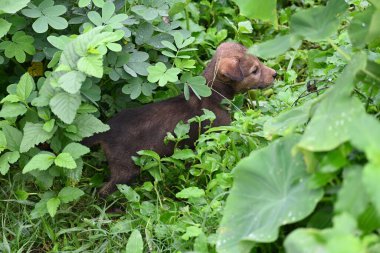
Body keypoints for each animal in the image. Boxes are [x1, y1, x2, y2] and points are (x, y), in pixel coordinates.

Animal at [83, 42, 278, 196]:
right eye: (254, 70)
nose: (276, 74)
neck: (212, 92)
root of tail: (106, 129)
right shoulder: (218, 133)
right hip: (125, 169)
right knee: (104, 191)